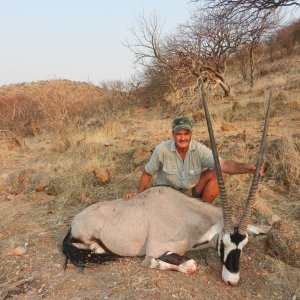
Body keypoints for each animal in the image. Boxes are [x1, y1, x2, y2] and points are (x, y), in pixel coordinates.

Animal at [61, 89, 272, 286]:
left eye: (243, 245)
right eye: (222, 243)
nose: (232, 280)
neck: (186, 218)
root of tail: (75, 220)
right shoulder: (155, 250)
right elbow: (188, 264)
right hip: (87, 238)